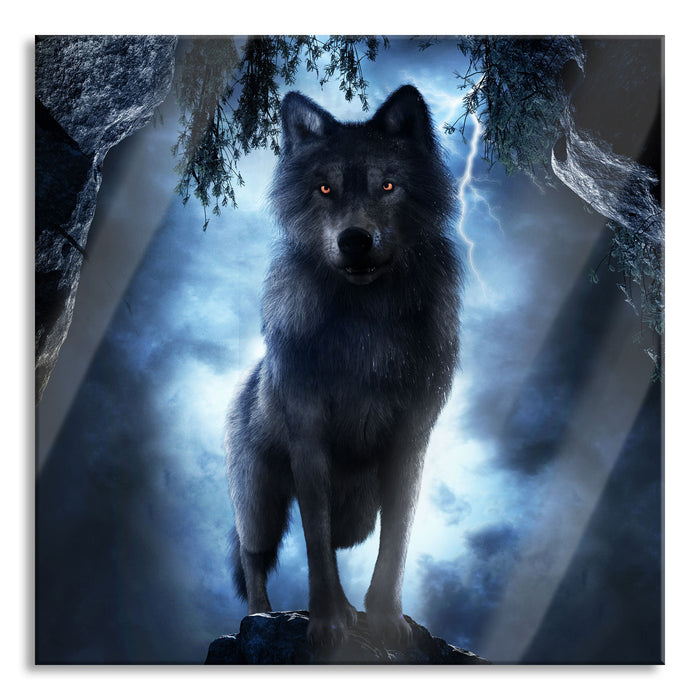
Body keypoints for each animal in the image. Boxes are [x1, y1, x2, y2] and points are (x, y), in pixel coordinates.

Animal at [225, 84, 462, 648]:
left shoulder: (410, 441)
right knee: (253, 556)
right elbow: (314, 542)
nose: (355, 239)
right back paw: (260, 617)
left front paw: (385, 621)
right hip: (260, 501)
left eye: (388, 185)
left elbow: (395, 543)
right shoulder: (309, 439)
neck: (365, 325)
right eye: (325, 189)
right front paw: (330, 621)